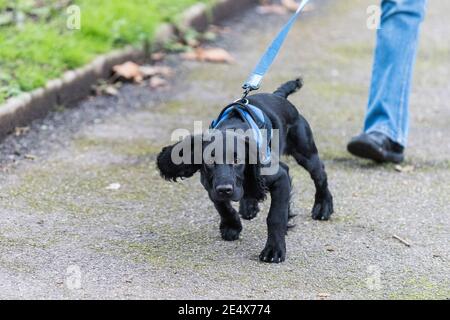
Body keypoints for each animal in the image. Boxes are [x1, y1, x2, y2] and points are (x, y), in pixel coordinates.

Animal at [156, 79, 332, 264]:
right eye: (210, 161)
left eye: (237, 160)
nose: (225, 189)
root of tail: (279, 95)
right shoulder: (210, 185)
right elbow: (221, 205)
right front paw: (232, 226)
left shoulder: (280, 177)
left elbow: (275, 216)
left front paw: (274, 249)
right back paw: (248, 205)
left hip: (306, 152)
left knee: (320, 176)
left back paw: (323, 206)